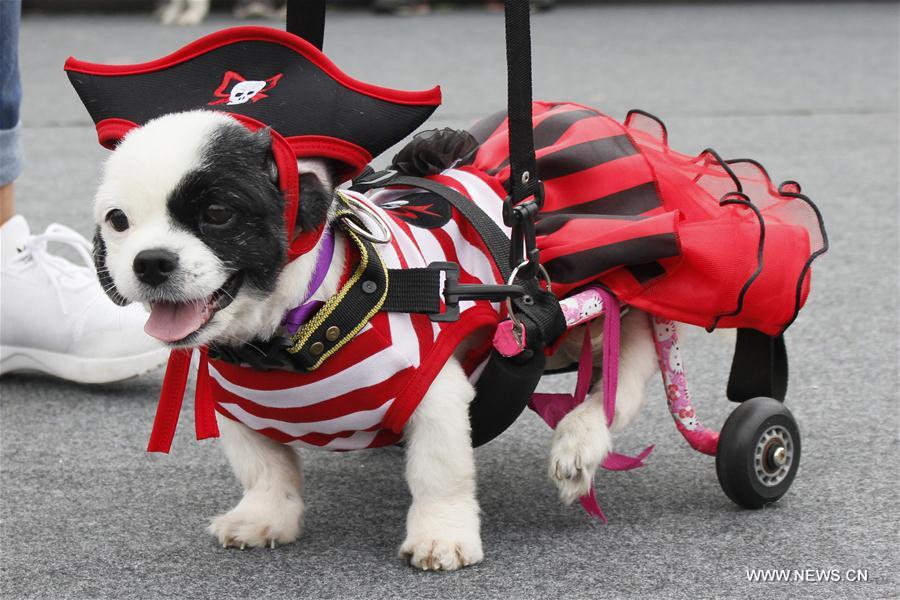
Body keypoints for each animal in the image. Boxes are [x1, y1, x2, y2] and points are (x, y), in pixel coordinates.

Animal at [93, 110, 660, 568]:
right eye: (117, 221)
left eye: (216, 214)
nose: (150, 261)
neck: (288, 338)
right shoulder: (235, 409)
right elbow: (265, 469)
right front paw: (263, 517)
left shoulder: (435, 393)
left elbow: (439, 473)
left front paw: (441, 536)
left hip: (557, 309)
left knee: (630, 354)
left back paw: (581, 438)